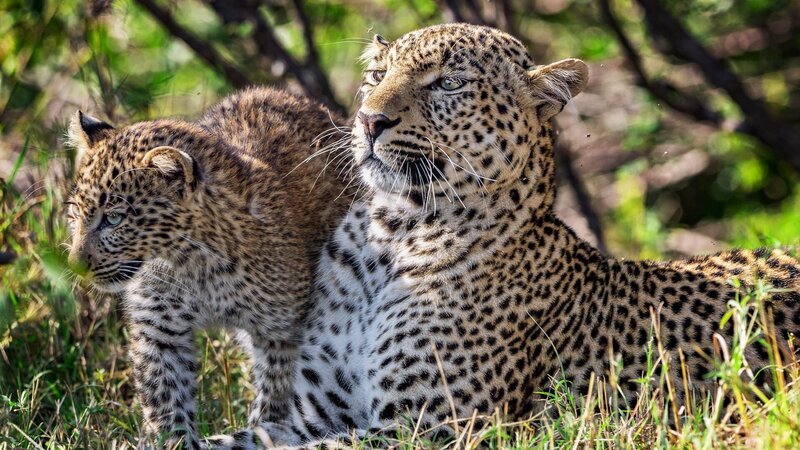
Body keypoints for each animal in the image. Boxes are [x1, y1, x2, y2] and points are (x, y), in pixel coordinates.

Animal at [65, 87, 353, 449]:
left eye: (114, 219)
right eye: (75, 214)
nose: (76, 265)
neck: (192, 263)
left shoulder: (282, 332)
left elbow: (278, 390)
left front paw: (267, 429)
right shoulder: (158, 331)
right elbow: (165, 395)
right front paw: (171, 440)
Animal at [216, 23, 799, 449]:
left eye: (448, 83)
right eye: (376, 75)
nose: (368, 120)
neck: (390, 238)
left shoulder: (429, 426)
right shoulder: (309, 416)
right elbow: (227, 440)